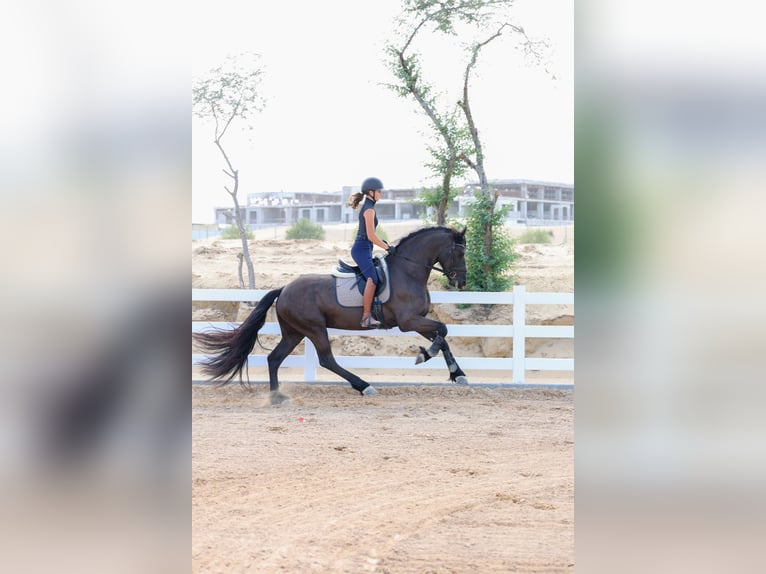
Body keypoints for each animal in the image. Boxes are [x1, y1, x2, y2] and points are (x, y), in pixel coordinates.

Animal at [193, 226, 468, 403]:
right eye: (460, 252)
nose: (462, 281)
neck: (407, 271)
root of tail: (284, 289)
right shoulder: (408, 321)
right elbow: (443, 331)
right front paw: (425, 355)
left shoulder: (417, 322)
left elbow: (442, 337)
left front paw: (458, 374)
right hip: (314, 329)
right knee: (326, 360)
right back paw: (364, 386)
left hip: (294, 333)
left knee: (274, 358)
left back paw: (276, 396)